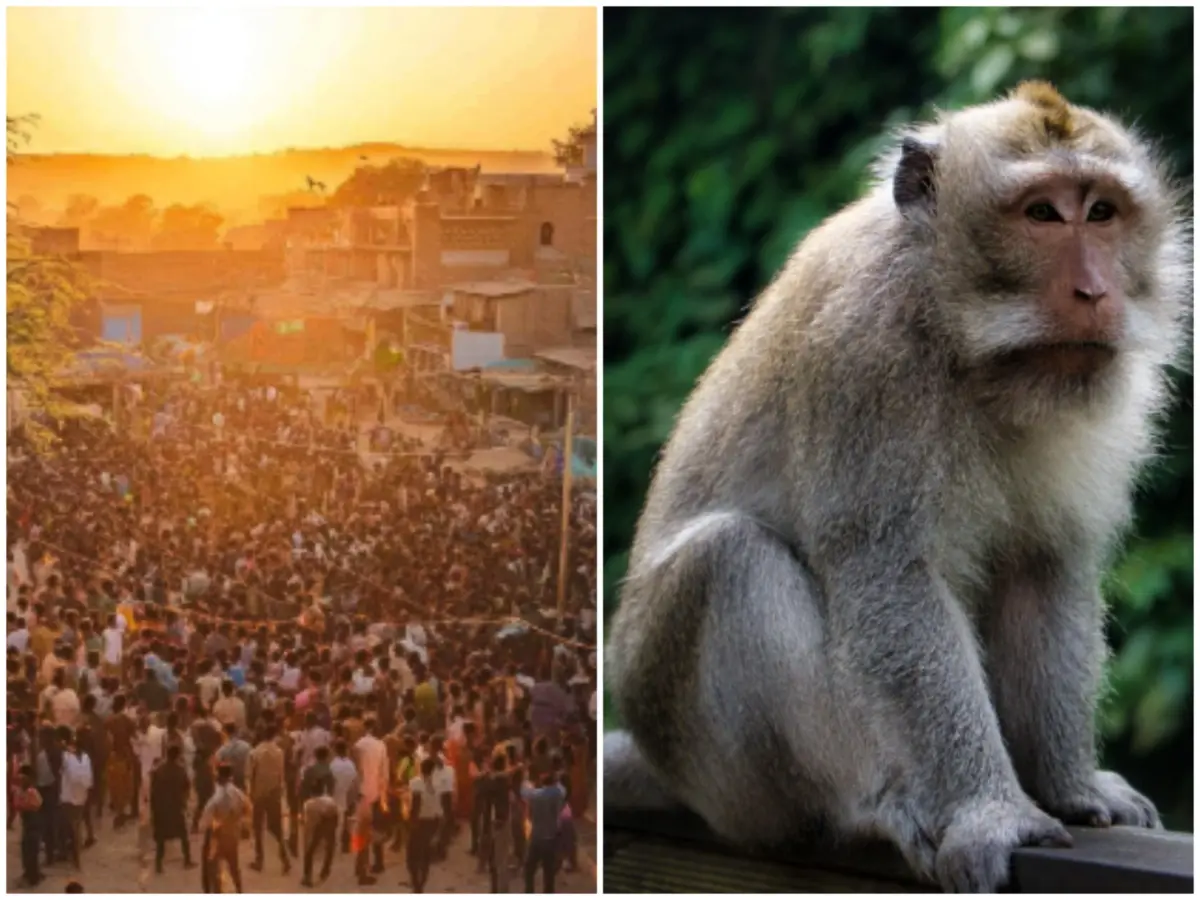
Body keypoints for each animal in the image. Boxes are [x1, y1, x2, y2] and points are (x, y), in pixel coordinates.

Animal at [604, 82, 1191, 893]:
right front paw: (990, 811)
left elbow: (1044, 571)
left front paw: (1069, 787)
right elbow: (893, 581)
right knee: (727, 559)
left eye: (1101, 212)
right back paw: (871, 807)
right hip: (700, 748)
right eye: (1042, 214)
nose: (1094, 290)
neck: (964, 337)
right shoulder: (864, 353)